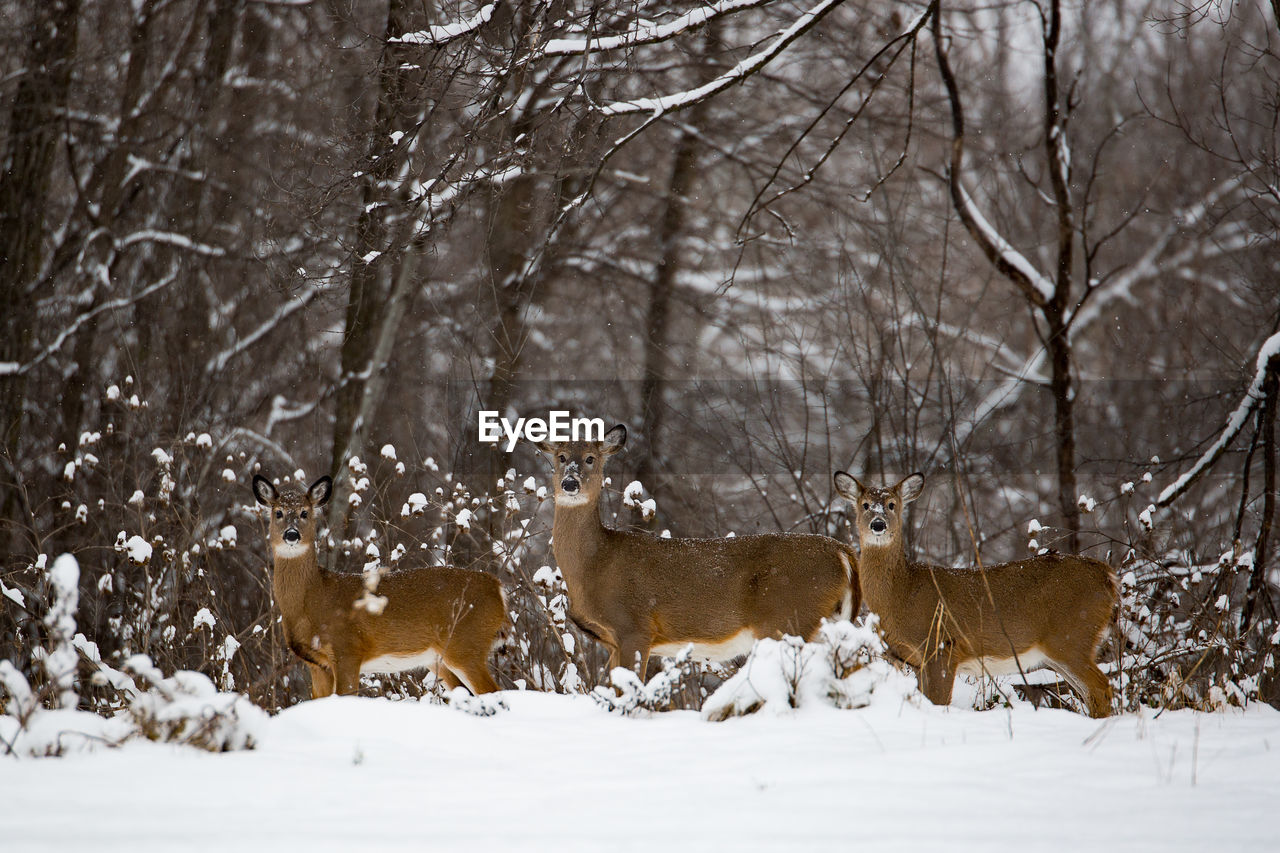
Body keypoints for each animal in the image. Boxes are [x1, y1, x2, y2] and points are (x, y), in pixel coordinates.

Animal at [252, 471, 506, 696]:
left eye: (305, 512)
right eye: (278, 512)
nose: (291, 534)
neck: (313, 599)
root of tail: (498, 588)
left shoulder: (348, 649)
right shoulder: (316, 664)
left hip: (466, 644)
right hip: (439, 658)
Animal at [529, 422, 860, 676]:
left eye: (590, 458)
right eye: (561, 456)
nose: (570, 483)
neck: (596, 563)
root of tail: (843, 552)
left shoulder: (634, 628)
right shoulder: (612, 641)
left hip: (788, 617)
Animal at [829, 468, 1121, 712]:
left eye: (892, 505)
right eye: (865, 505)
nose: (878, 524)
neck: (902, 593)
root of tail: (1108, 576)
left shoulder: (942, 646)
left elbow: (939, 703)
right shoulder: (916, 661)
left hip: (1072, 636)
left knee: (1101, 687)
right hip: (1059, 649)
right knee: (1091, 692)